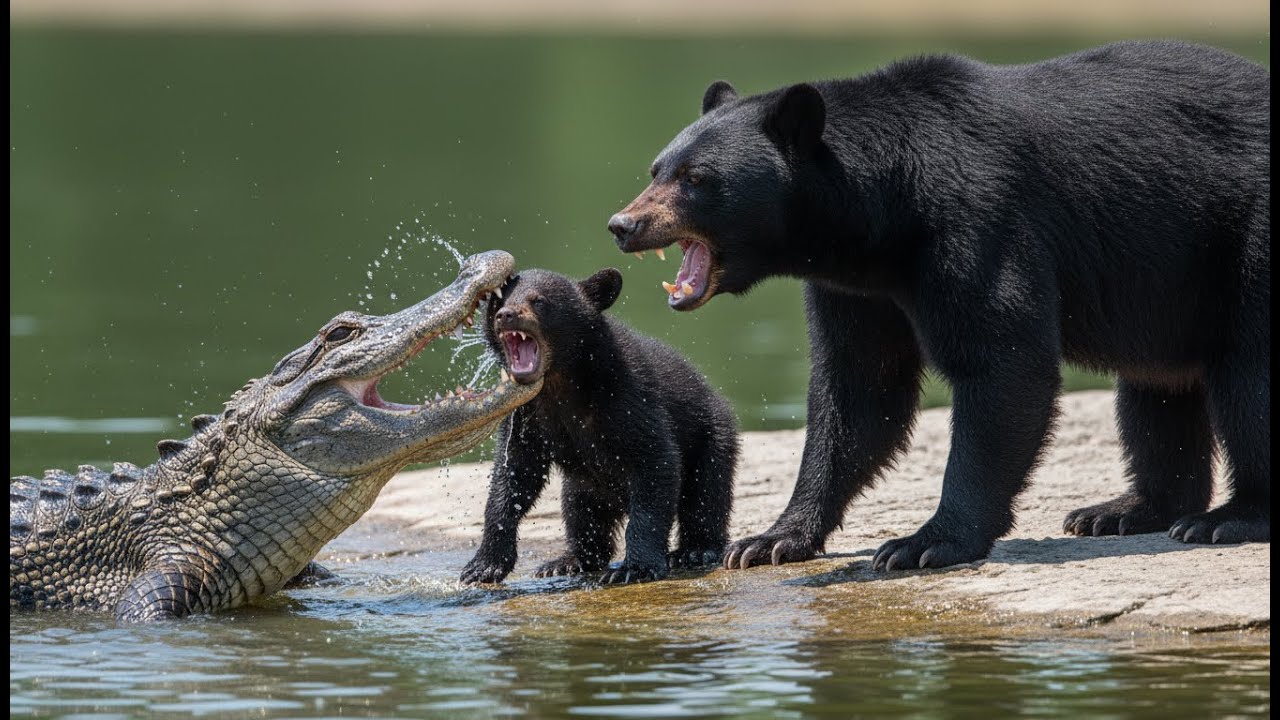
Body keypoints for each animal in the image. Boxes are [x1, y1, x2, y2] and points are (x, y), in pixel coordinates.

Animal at [459, 267, 740, 585]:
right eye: (499, 301)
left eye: (538, 300)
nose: (505, 315)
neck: (562, 380)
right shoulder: (524, 413)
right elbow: (514, 475)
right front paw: (483, 566)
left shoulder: (627, 395)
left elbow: (655, 462)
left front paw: (636, 567)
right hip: (584, 485)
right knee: (580, 511)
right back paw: (568, 560)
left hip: (712, 436)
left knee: (706, 494)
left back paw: (695, 550)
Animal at [605, 40, 1270, 572]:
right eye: (657, 168)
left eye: (696, 178)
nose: (623, 224)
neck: (885, 215)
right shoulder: (858, 288)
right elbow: (858, 390)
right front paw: (771, 539)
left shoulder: (980, 225)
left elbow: (1003, 365)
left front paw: (923, 542)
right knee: (1154, 389)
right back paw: (1125, 510)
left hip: (1246, 235)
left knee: (1247, 374)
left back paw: (1225, 519)